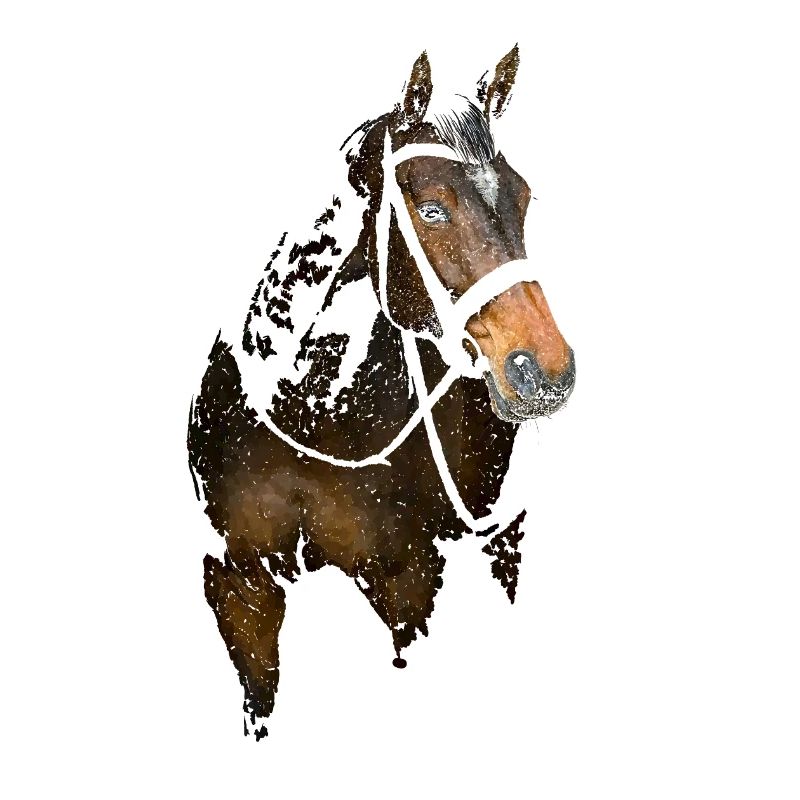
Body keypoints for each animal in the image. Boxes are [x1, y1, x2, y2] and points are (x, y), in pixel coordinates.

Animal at [188, 46, 576, 739]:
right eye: (432, 208)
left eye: (524, 197)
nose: (547, 370)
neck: (311, 417)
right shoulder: (237, 582)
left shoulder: (409, 582)